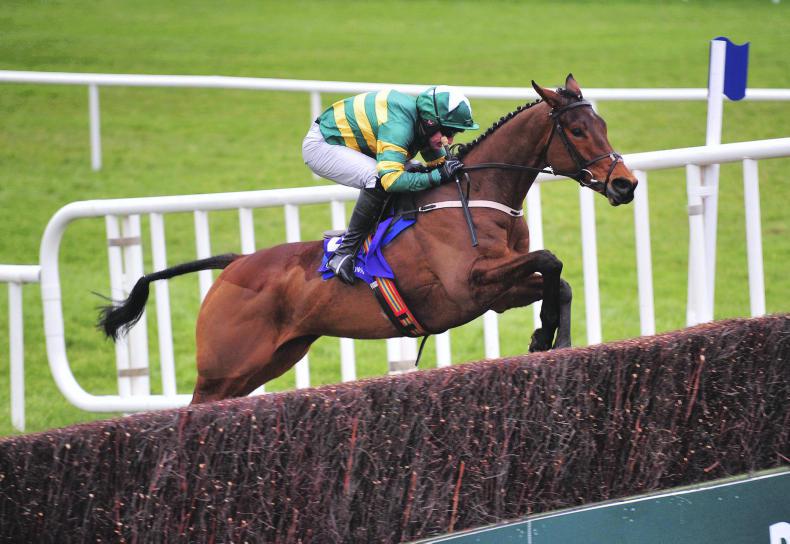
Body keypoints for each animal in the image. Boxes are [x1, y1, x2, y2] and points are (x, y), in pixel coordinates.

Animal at [99, 74, 638, 404]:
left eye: (604, 124)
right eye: (576, 130)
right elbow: (550, 258)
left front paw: (546, 336)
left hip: (268, 361)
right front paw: (554, 336)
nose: (625, 184)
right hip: (222, 367)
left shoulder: (498, 292)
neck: (480, 194)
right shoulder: (469, 284)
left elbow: (556, 276)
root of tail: (236, 263)